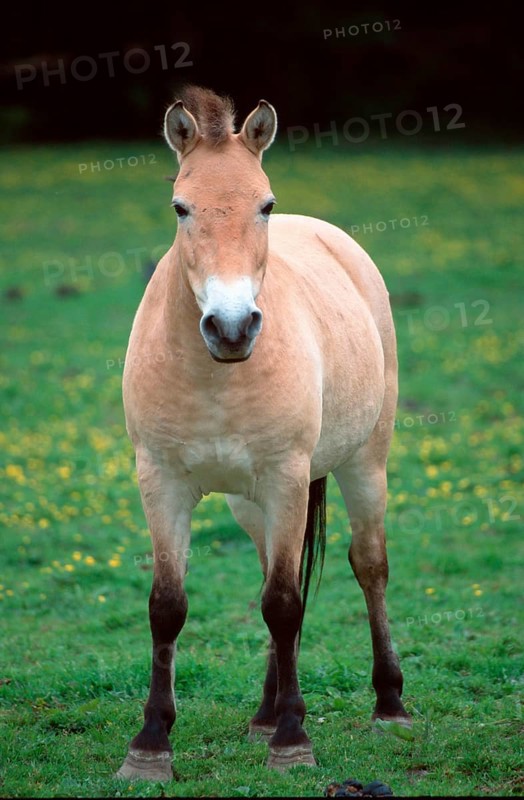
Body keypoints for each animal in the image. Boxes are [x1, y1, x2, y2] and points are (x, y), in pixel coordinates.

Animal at [117, 86, 410, 781]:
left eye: (265, 206)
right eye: (181, 207)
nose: (231, 327)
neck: (216, 375)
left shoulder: (286, 478)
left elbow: (284, 603)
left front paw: (293, 742)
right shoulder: (161, 482)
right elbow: (169, 606)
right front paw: (151, 744)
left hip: (363, 464)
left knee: (369, 566)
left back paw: (389, 705)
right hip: (249, 503)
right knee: (274, 578)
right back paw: (263, 713)